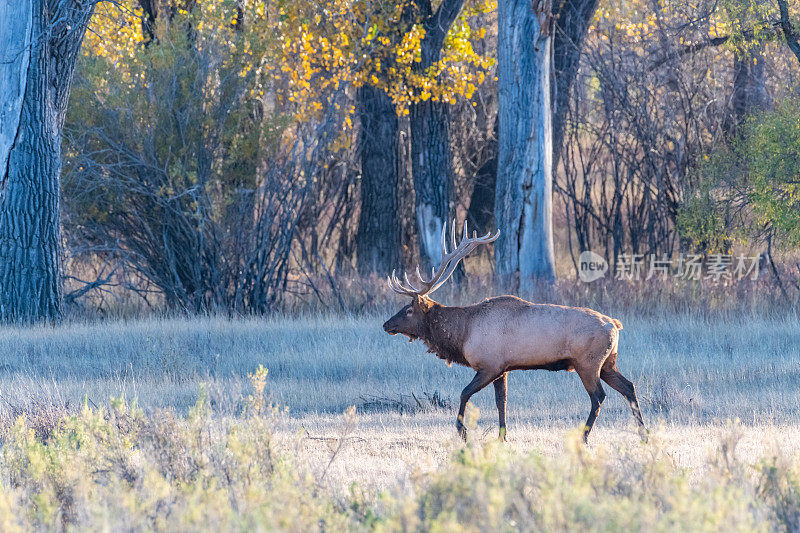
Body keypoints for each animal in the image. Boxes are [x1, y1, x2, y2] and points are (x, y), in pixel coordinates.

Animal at [382, 220, 648, 440]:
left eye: (408, 310)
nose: (386, 324)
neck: (463, 334)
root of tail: (615, 325)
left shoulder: (489, 365)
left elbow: (464, 393)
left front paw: (463, 431)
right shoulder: (503, 369)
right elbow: (502, 402)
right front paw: (502, 436)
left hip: (588, 362)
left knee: (599, 397)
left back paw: (584, 436)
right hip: (608, 362)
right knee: (629, 387)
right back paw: (644, 434)